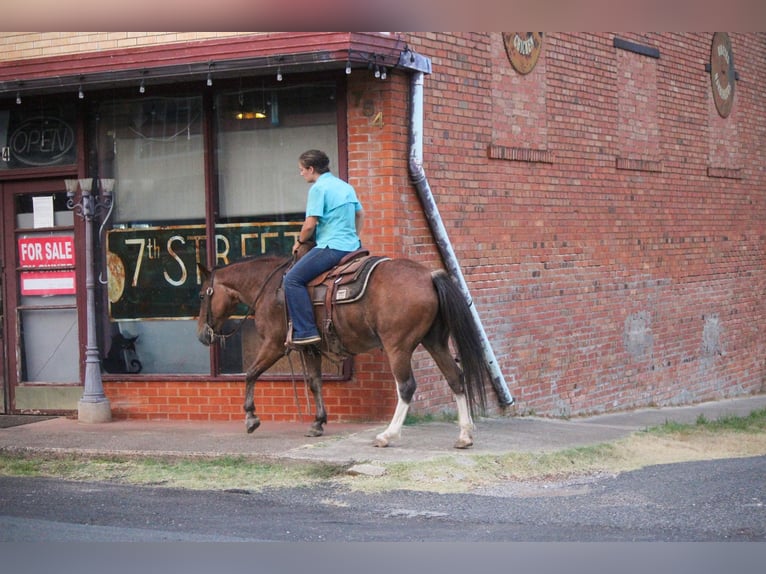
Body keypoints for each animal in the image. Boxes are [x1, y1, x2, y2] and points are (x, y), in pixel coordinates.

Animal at [195, 243, 488, 450]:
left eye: (201, 295)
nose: (201, 335)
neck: (269, 288)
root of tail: (429, 275)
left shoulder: (274, 344)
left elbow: (251, 373)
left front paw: (251, 418)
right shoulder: (310, 348)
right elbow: (314, 383)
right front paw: (318, 422)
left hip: (398, 346)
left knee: (406, 387)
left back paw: (387, 435)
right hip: (435, 341)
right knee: (455, 377)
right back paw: (464, 435)